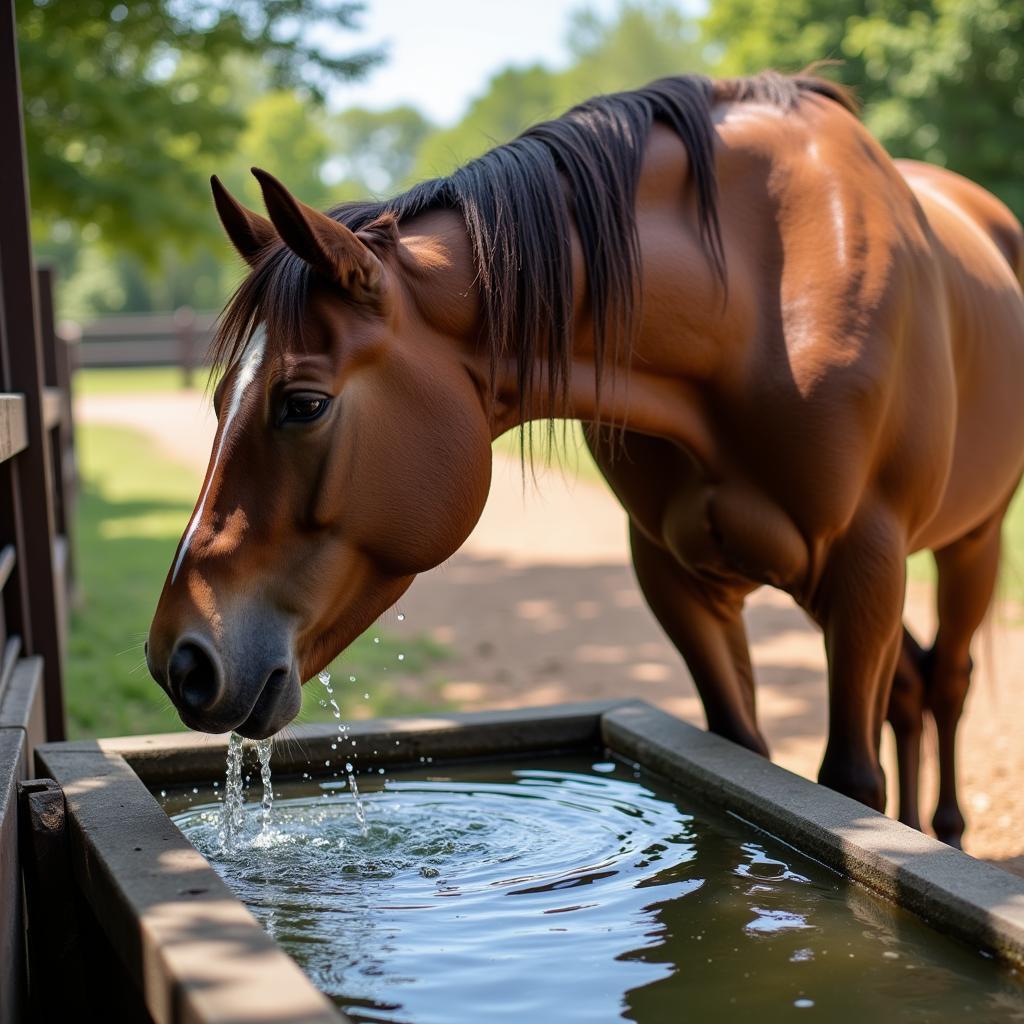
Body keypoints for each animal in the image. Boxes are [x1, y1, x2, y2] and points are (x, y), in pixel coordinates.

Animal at [146, 68, 1024, 843]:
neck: (761, 303)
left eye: (303, 403)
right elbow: (745, 755)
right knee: (910, 686)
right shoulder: (680, 580)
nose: (180, 660)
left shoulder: (864, 567)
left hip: (970, 542)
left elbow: (850, 784)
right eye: (220, 401)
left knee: (947, 683)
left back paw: (945, 829)